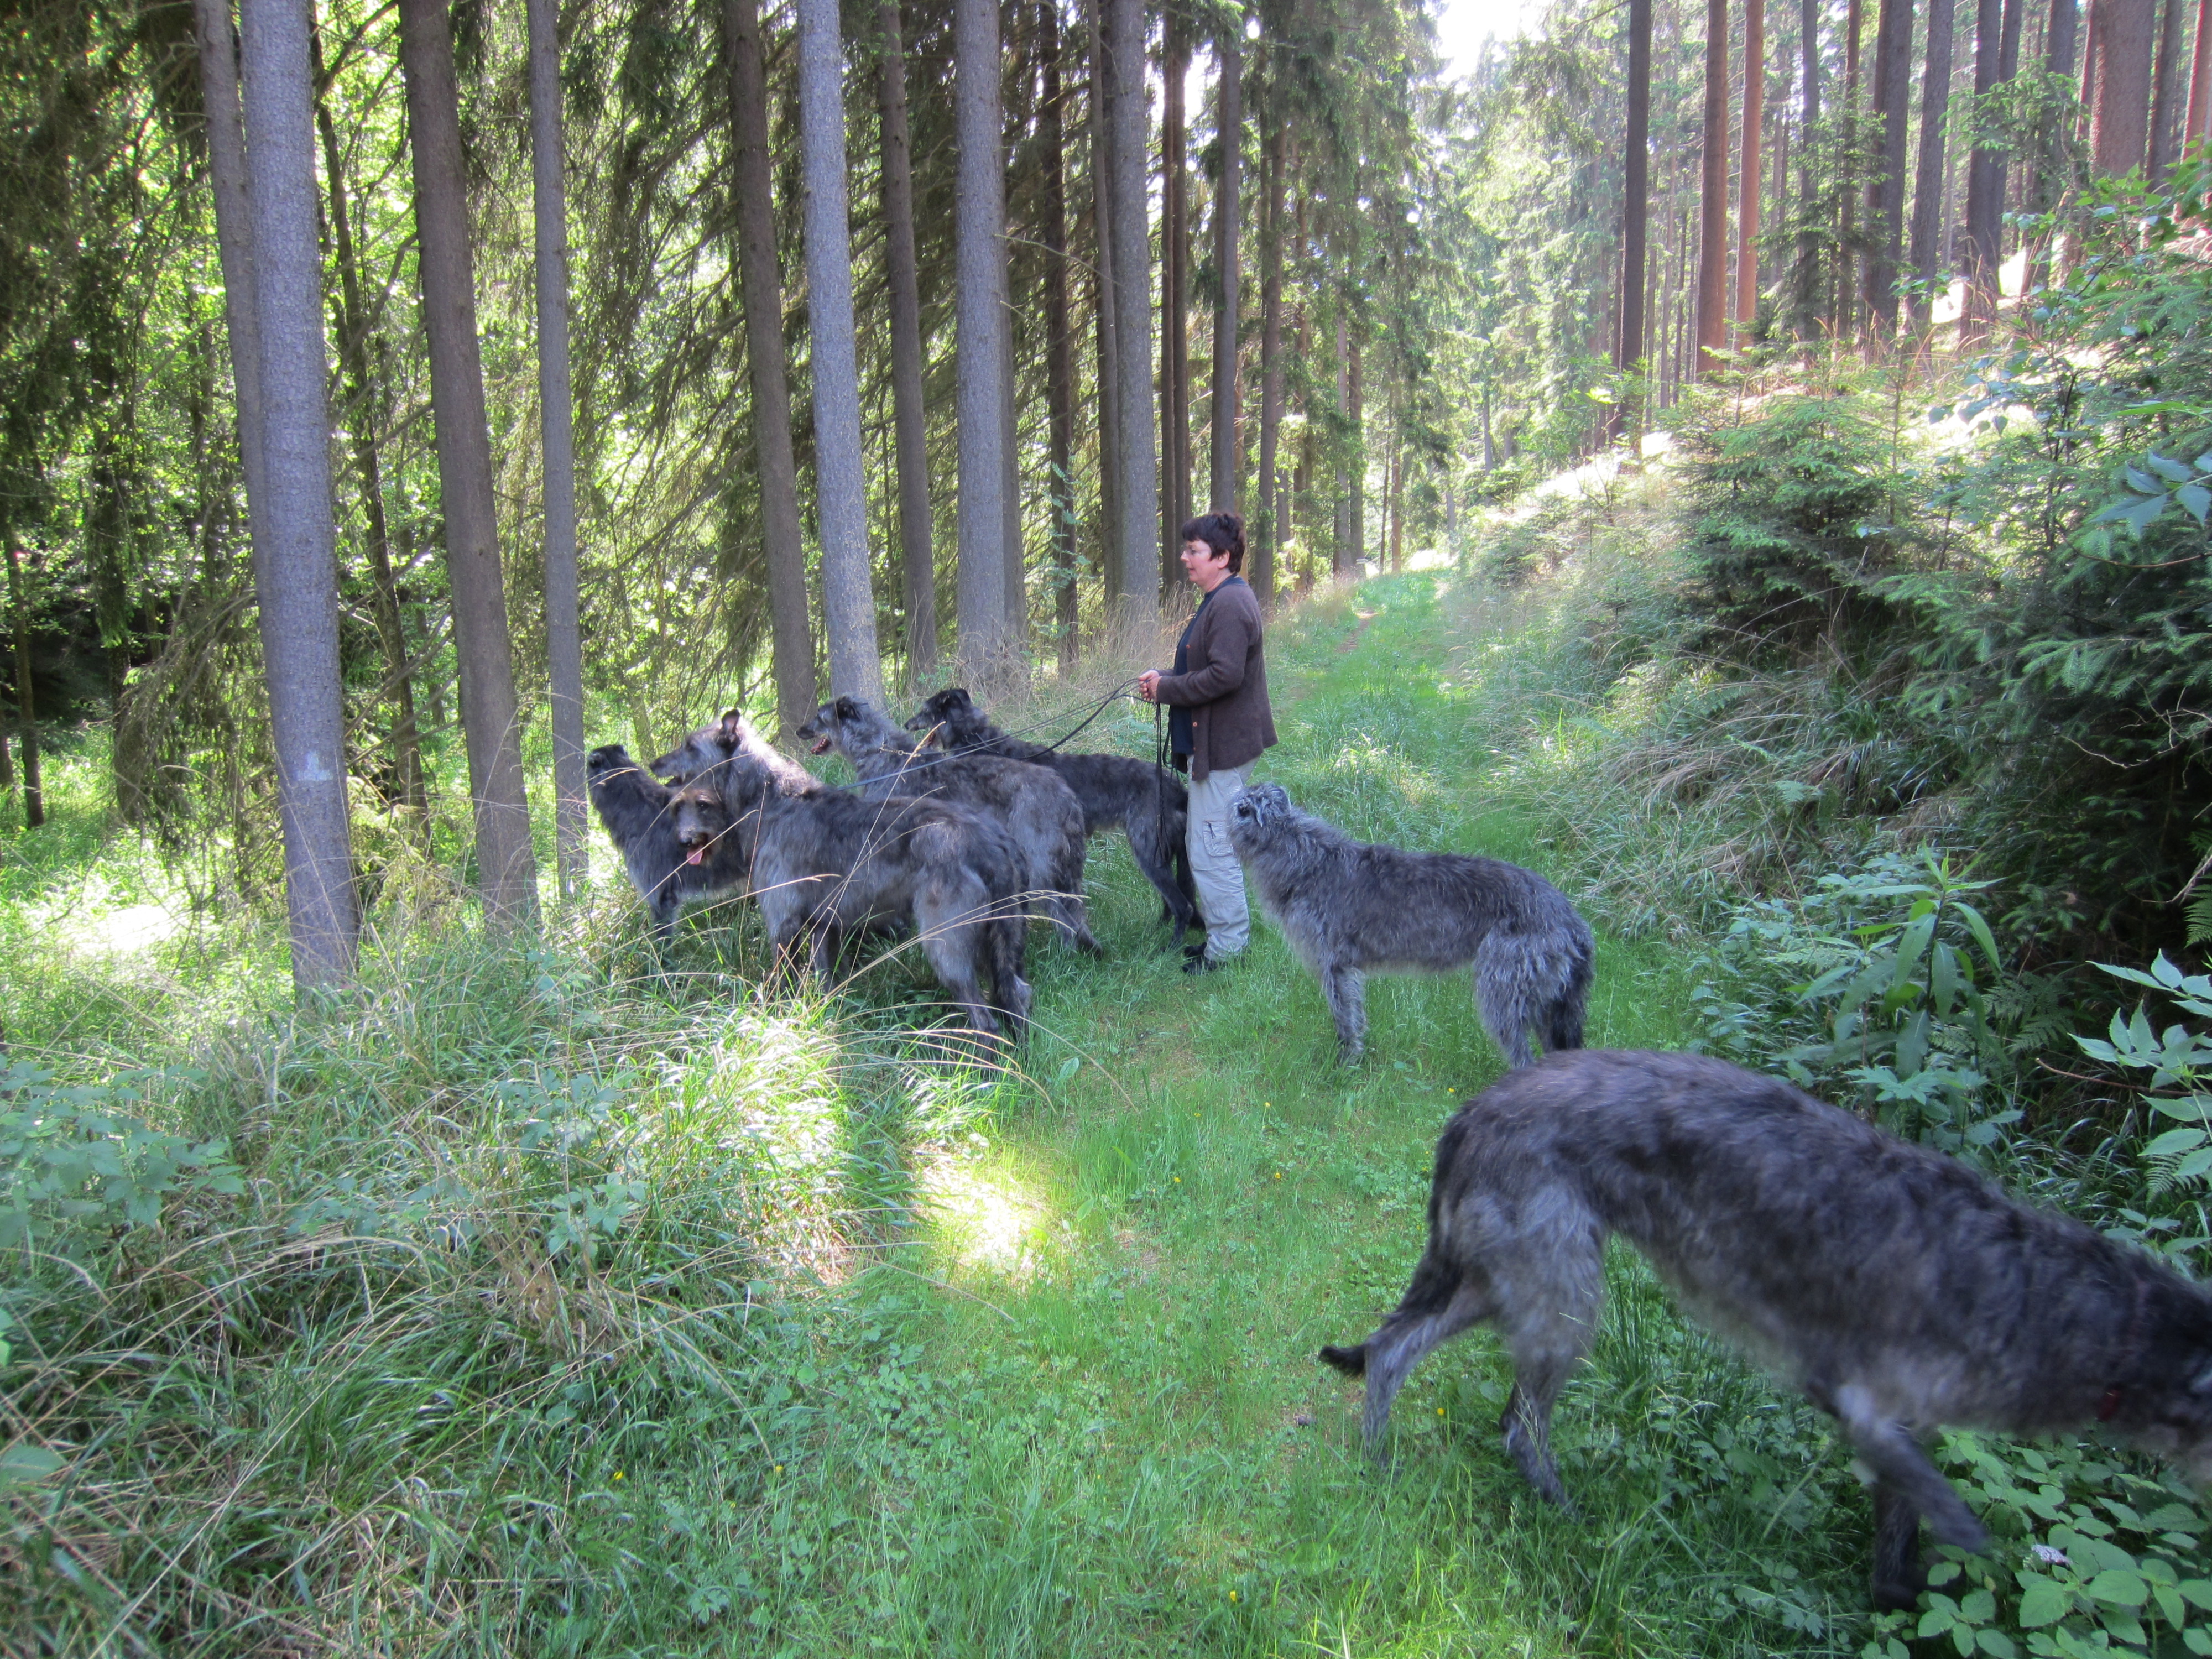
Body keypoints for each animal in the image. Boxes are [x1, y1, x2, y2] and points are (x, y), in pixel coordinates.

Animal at [653, 710, 1031, 1037]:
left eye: (689, 745)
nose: (654, 763)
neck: (771, 801)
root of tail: (993, 842)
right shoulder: (823, 924)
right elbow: (824, 979)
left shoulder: (783, 921)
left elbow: (780, 980)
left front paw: (771, 1019)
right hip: (1005, 941)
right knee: (1018, 996)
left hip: (946, 943)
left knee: (985, 1019)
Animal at [793, 695, 1100, 953]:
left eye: (819, 717)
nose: (798, 731)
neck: (880, 752)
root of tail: (1066, 796)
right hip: (1067, 870)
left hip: (1039, 866)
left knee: (1063, 917)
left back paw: (1064, 955)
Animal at [905, 686, 1200, 943]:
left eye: (924, 710)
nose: (907, 724)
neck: (979, 742)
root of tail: (1180, 791)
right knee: (1172, 902)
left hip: (1148, 849)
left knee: (1182, 905)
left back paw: (1170, 948)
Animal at [1226, 783, 1593, 1065]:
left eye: (1233, 806)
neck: (1304, 858)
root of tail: (1570, 918)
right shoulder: (1348, 970)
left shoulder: (1334, 965)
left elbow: (1344, 1017)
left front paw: (1346, 1062)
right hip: (1550, 1000)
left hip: (1504, 984)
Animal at [1319, 1048, 2212, 1610]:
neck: (2035, 1295)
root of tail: (1474, 1110)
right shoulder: (1861, 1402)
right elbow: (1947, 1509)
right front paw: (1970, 1560)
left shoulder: (1904, 1422)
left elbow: (1900, 1530)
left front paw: (1900, 1601)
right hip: (1559, 1290)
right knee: (1516, 1422)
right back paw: (1560, 1513)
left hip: (1503, 1276)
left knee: (1397, 1350)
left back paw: (1382, 1458)